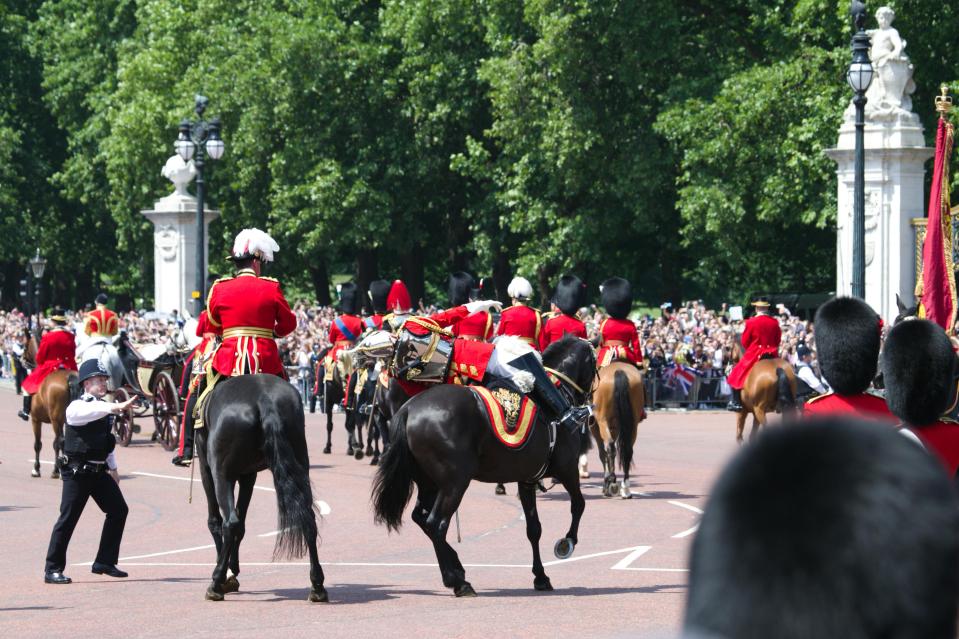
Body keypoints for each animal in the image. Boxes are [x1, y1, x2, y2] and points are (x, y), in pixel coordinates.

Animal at [197, 372, 328, 604]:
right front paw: (233, 570)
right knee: (308, 519)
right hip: (300, 464)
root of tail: (265, 400)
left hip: (221, 474)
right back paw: (317, 585)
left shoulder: (207, 468)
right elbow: (242, 524)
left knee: (229, 522)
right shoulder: (249, 475)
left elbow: (217, 521)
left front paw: (227, 573)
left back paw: (216, 582)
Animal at [372, 338, 596, 596]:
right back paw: (458, 581)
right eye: (595, 365)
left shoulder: (527, 479)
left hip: (429, 483)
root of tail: (409, 409)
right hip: (455, 483)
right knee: (436, 524)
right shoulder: (567, 470)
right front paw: (567, 543)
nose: (588, 410)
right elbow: (579, 505)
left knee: (422, 518)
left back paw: (457, 569)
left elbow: (533, 529)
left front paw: (540, 577)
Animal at [584, 362, 644, 498]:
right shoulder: (615, 427)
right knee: (628, 450)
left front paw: (607, 482)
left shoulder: (594, 426)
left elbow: (602, 454)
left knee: (610, 448)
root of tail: (619, 371)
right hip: (633, 425)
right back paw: (625, 489)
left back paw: (611, 484)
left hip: (602, 421)